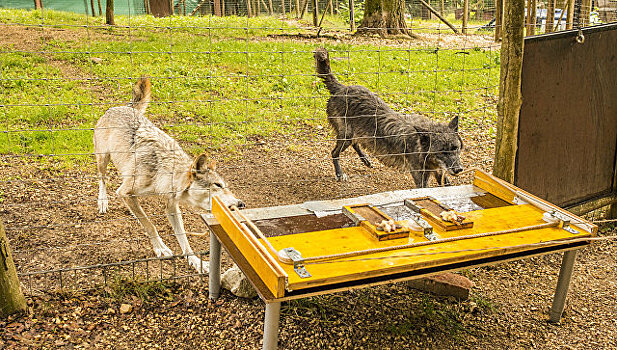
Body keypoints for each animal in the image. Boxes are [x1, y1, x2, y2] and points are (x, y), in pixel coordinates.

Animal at [94, 77, 243, 274]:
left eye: (224, 185)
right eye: (218, 185)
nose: (241, 204)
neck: (165, 171)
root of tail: (122, 107)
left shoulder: (172, 206)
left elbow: (183, 236)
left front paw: (194, 260)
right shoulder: (125, 193)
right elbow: (149, 224)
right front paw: (160, 248)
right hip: (103, 159)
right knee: (102, 178)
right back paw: (102, 201)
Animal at [312, 48, 462, 189]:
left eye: (455, 148)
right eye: (442, 151)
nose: (459, 169)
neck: (419, 144)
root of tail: (341, 88)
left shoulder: (438, 170)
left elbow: (445, 183)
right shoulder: (420, 175)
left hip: (353, 135)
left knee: (356, 143)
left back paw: (366, 160)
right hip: (346, 137)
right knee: (334, 152)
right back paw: (340, 173)